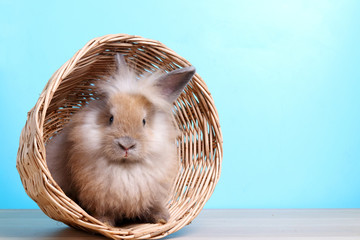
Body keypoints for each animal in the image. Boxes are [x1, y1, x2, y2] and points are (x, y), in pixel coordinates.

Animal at [46, 54, 195, 227]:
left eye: (144, 121)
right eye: (111, 118)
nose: (126, 145)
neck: (125, 168)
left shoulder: (153, 195)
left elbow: (154, 207)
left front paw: (162, 219)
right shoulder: (98, 197)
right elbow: (102, 212)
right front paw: (104, 223)